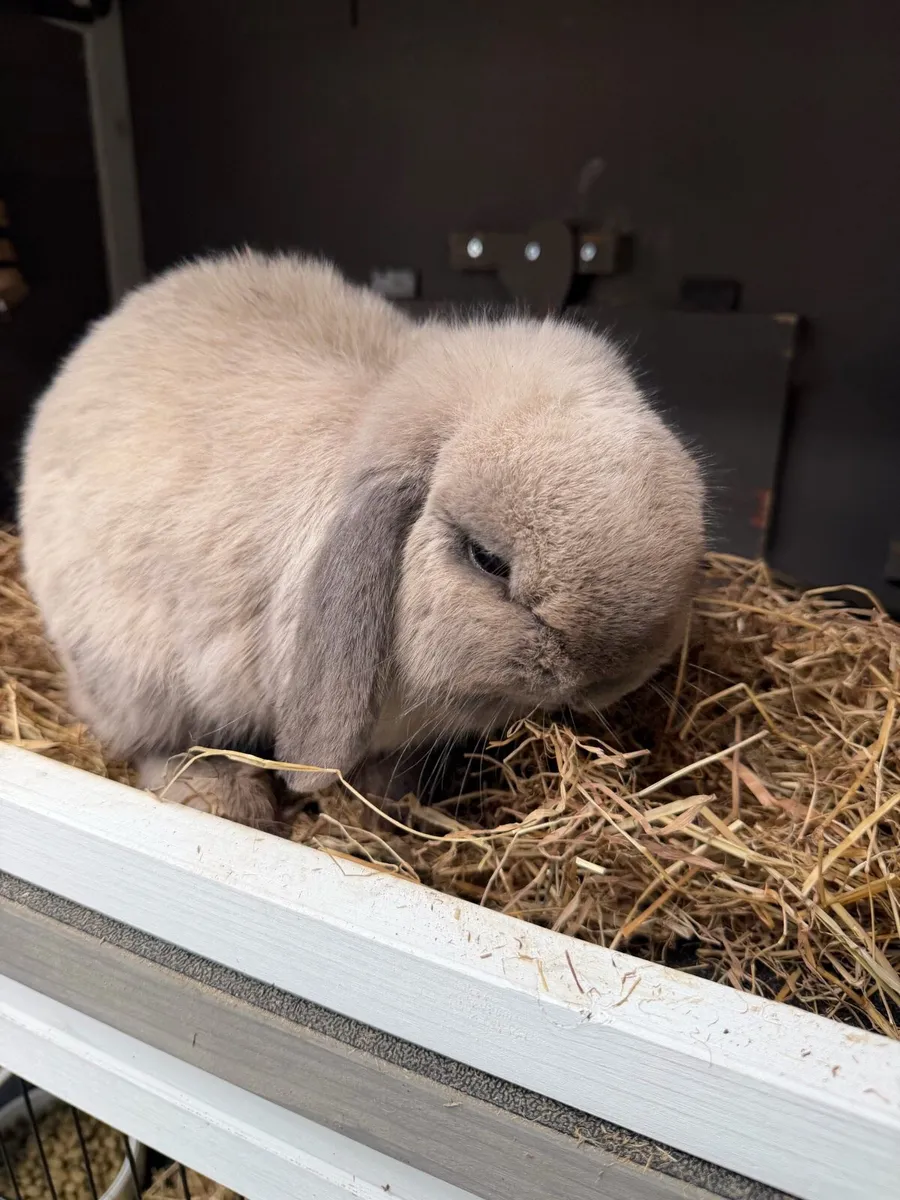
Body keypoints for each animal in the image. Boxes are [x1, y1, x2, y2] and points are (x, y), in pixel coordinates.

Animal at [20, 249, 705, 828]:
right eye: (486, 560)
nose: (612, 679)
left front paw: (386, 803)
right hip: (128, 670)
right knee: (153, 742)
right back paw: (224, 797)